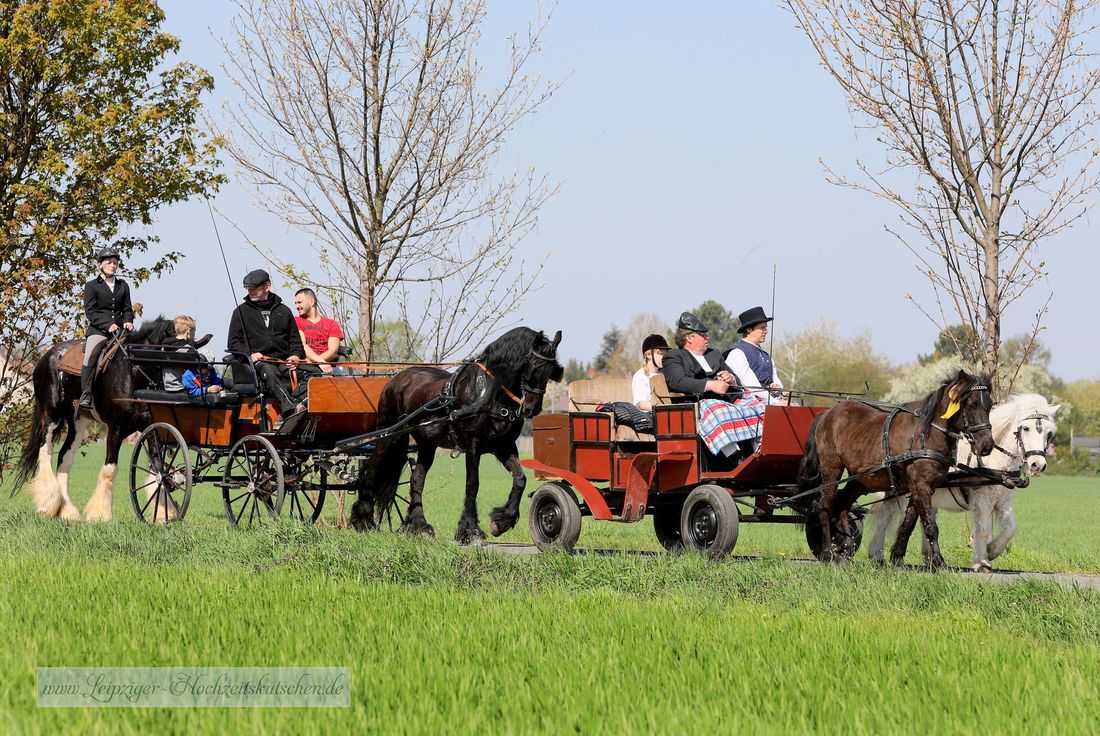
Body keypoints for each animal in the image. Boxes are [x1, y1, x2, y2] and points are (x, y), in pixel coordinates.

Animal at [11, 316, 202, 521]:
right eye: (176, 354)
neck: (134, 373)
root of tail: (48, 356)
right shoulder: (116, 428)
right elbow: (110, 469)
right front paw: (100, 514)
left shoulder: (152, 428)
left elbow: (157, 468)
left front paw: (162, 513)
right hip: (51, 414)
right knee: (45, 450)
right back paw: (48, 503)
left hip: (78, 422)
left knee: (64, 458)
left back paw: (67, 511)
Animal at [349, 323, 563, 543]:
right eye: (533, 366)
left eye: (551, 372)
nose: (532, 409)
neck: (488, 393)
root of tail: (395, 379)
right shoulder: (473, 444)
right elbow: (472, 484)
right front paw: (469, 530)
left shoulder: (504, 446)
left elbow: (520, 479)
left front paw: (502, 522)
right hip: (390, 435)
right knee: (371, 468)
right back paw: (363, 518)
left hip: (427, 444)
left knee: (417, 479)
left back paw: (419, 524)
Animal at [800, 369, 998, 567]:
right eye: (971, 405)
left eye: (989, 405)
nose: (986, 446)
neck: (925, 434)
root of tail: (827, 413)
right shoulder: (921, 485)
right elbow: (931, 527)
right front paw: (938, 562)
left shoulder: (920, 487)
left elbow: (909, 523)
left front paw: (897, 557)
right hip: (831, 469)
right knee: (825, 506)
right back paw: (827, 551)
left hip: (861, 479)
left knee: (842, 504)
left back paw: (846, 548)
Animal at [866, 393, 1056, 572]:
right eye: (1026, 428)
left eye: (1049, 433)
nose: (1037, 465)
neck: (994, 460)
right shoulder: (981, 500)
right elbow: (983, 530)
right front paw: (982, 561)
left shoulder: (1003, 500)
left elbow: (1010, 529)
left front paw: (991, 551)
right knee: (884, 516)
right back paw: (877, 554)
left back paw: (926, 558)